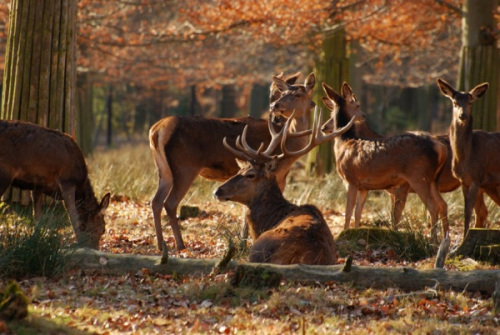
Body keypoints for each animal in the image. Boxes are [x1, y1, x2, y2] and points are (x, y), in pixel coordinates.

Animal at [0, 121, 110, 249]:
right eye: (102, 229)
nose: (94, 248)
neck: (80, 186)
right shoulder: (67, 181)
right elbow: (74, 217)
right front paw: (79, 244)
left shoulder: (37, 185)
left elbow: (37, 216)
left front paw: (35, 240)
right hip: (4, 173)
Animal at [147, 73, 316, 252]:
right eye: (283, 93)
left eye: (298, 94)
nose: (274, 105)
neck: (288, 145)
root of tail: (156, 130)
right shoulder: (274, 174)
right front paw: (245, 242)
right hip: (185, 167)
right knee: (170, 203)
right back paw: (180, 245)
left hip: (163, 169)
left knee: (155, 201)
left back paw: (160, 245)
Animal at [322, 82, 452, 240]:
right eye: (357, 105)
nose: (364, 115)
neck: (344, 143)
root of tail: (441, 148)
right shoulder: (364, 187)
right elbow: (358, 213)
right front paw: (356, 232)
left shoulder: (351, 179)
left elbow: (348, 213)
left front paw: (344, 234)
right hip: (432, 179)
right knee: (443, 204)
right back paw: (445, 239)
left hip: (418, 175)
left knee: (433, 207)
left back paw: (433, 240)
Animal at [434, 77, 496, 238]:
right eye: (455, 103)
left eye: (470, 102)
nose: (463, 116)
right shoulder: (465, 181)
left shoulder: (476, 177)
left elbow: (467, 211)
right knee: (483, 211)